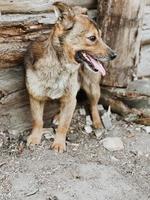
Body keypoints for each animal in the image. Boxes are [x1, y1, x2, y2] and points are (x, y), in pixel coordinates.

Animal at [24, 1, 116, 152]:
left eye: (101, 36)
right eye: (92, 38)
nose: (114, 55)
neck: (59, 66)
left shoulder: (70, 99)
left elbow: (64, 125)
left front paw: (59, 143)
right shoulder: (35, 97)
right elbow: (37, 120)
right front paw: (35, 137)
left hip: (92, 87)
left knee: (93, 105)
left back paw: (97, 122)